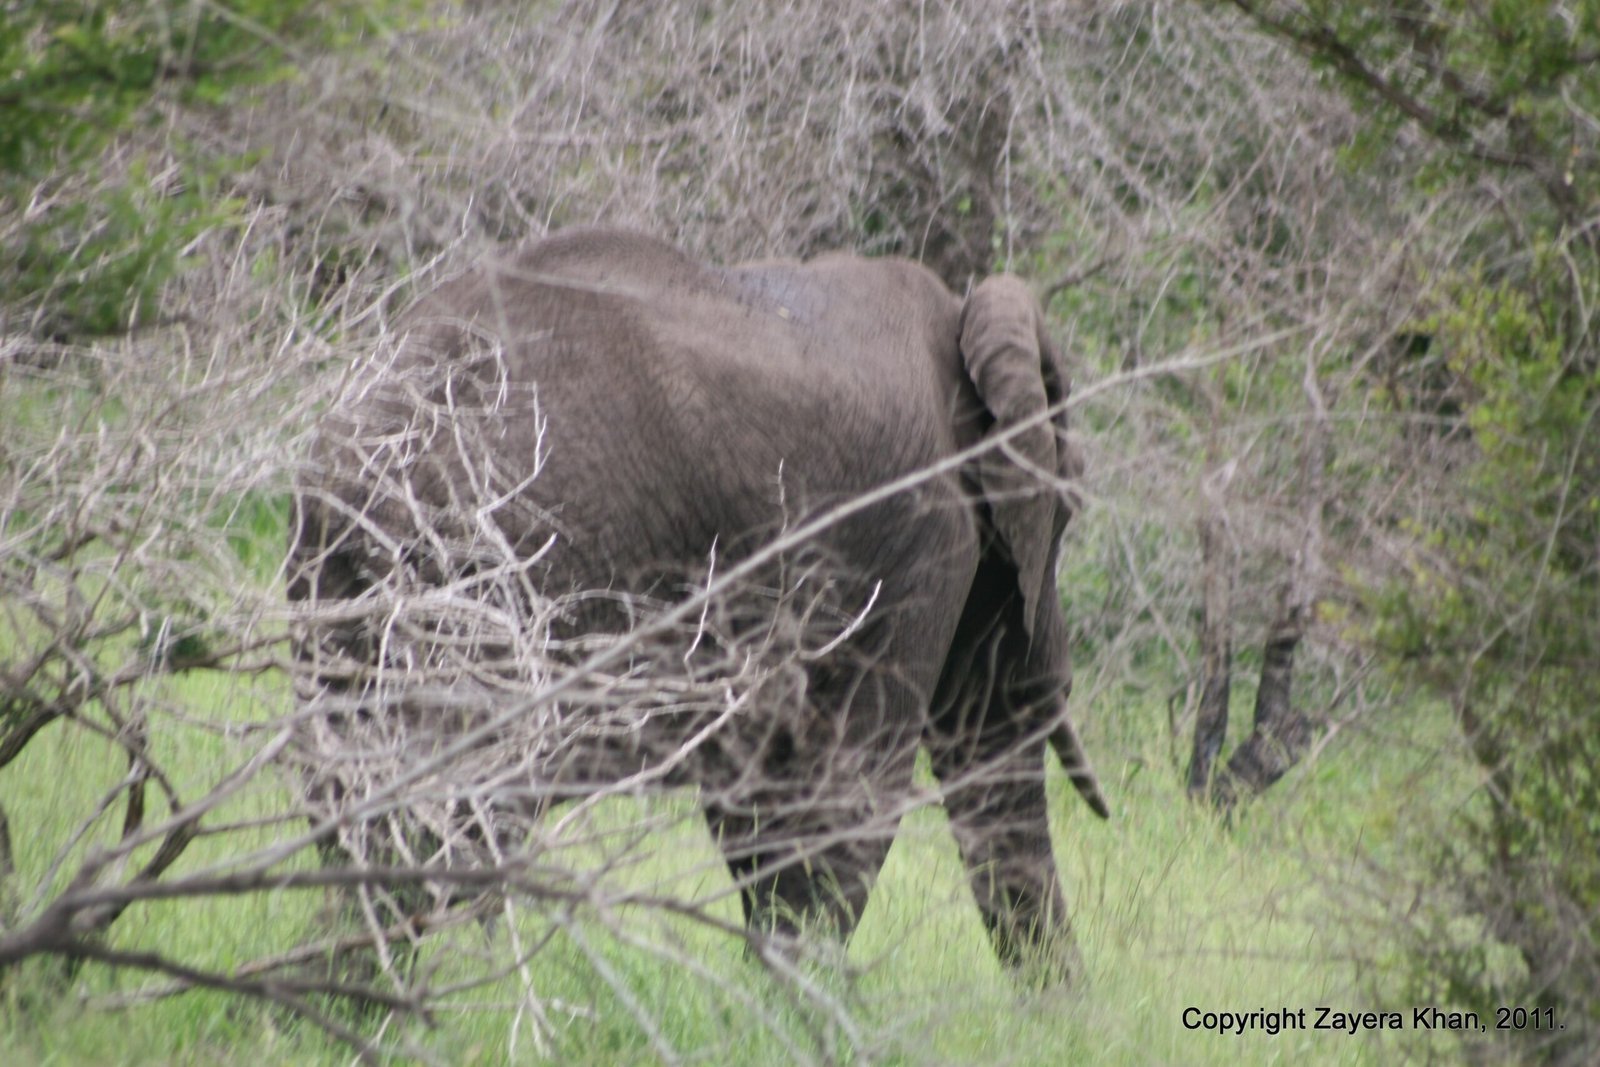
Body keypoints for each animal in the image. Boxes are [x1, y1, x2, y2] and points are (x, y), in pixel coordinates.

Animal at [287, 227, 1108, 981]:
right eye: (1069, 507)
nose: (1066, 1021)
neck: (960, 315)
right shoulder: (922, 536)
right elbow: (850, 796)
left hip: (342, 576)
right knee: (466, 806)